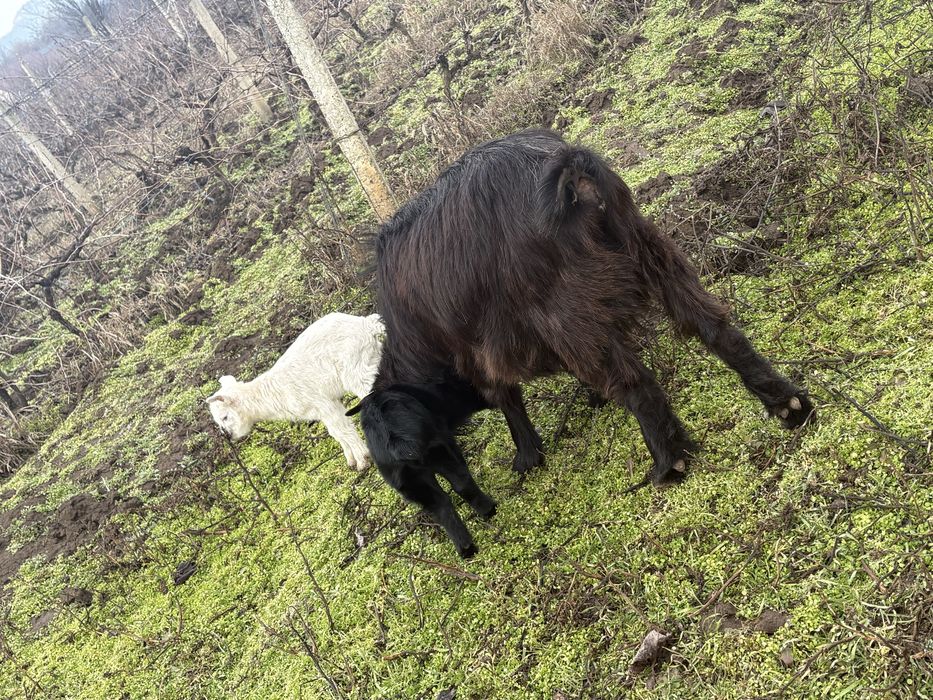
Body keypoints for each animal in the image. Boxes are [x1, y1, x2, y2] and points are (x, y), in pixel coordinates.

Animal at [208, 312, 384, 470]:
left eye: (224, 417)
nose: (228, 435)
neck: (277, 394)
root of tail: (366, 324)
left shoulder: (321, 402)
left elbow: (342, 430)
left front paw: (362, 461)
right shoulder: (324, 407)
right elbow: (336, 432)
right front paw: (352, 460)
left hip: (356, 367)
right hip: (372, 358)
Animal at [356, 129, 814, 555]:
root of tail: (572, 168)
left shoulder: (477, 355)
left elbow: (508, 400)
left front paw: (527, 458)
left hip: (567, 314)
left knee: (636, 383)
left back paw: (669, 463)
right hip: (651, 253)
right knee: (714, 327)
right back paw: (787, 403)